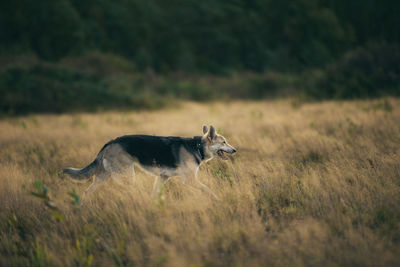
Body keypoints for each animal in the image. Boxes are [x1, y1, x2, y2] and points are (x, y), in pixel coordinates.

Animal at [63, 125, 236, 199]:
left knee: (87, 192)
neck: (198, 147)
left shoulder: (162, 178)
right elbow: (208, 190)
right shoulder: (190, 180)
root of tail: (110, 142)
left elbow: (155, 194)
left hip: (104, 177)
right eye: (224, 142)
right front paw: (217, 200)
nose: (235, 150)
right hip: (127, 176)